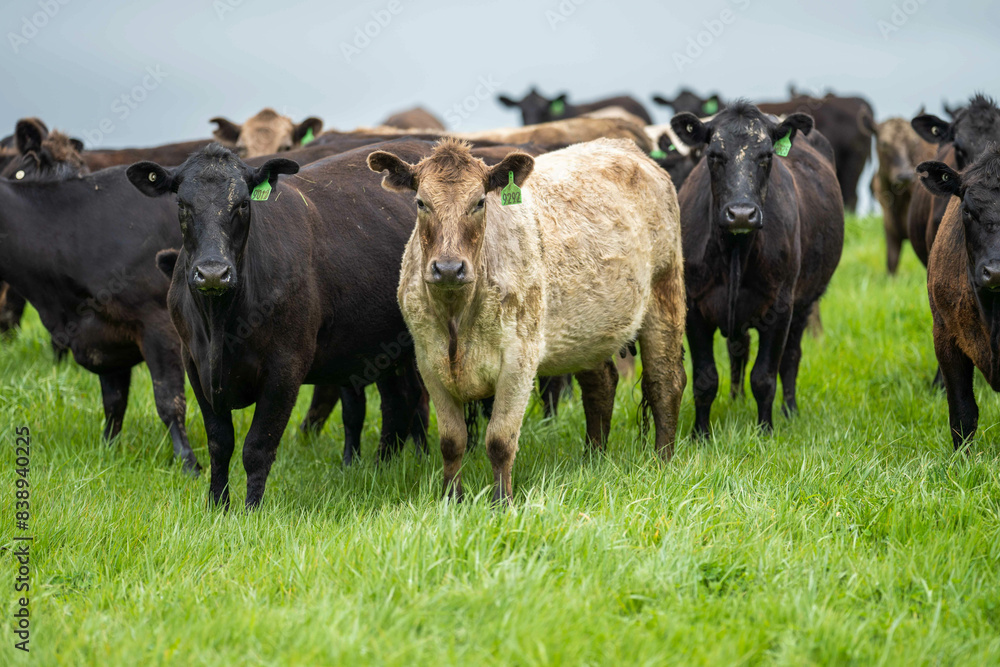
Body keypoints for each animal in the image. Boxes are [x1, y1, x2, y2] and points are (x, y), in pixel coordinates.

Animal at [0, 166, 200, 473]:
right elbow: (114, 403)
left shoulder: (157, 324)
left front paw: (188, 464)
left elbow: (169, 401)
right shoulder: (105, 337)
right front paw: (107, 451)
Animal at [126, 142, 435, 509]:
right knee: (400, 401)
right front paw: (217, 506)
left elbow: (258, 447)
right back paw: (382, 469)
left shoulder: (286, 368)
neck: (221, 323)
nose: (213, 273)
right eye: (181, 204)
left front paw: (251, 511)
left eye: (243, 203)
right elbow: (219, 443)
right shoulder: (195, 364)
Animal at [367, 137, 686, 504]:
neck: (456, 316)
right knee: (601, 386)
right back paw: (593, 459)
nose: (448, 268)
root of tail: (624, 146)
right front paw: (451, 499)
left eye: (479, 202)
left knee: (665, 382)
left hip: (665, 295)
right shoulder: (429, 361)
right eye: (421, 202)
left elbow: (499, 440)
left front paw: (501, 502)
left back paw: (663, 461)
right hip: (588, 330)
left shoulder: (519, 362)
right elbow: (451, 441)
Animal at [670, 101, 844, 436]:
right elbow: (705, 379)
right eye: (714, 155)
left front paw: (765, 431)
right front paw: (701, 435)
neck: (734, 253)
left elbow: (764, 377)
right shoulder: (694, 306)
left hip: (804, 303)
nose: (741, 213)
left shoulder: (780, 307)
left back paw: (790, 411)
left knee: (790, 358)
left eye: (767, 156)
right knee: (739, 347)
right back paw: (736, 401)